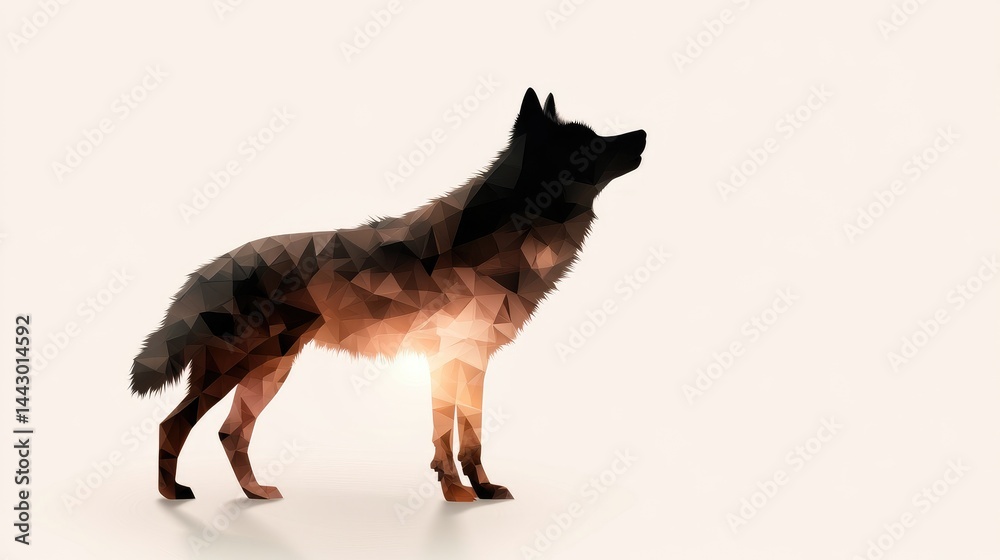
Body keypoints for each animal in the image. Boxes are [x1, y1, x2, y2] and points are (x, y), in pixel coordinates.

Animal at [130, 88, 646, 502]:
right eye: (592, 143)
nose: (642, 133)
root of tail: (211, 268)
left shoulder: (471, 360)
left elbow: (470, 437)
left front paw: (481, 490)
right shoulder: (446, 359)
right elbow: (446, 436)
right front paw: (456, 493)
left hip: (269, 372)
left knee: (230, 434)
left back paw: (255, 493)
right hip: (238, 369)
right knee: (173, 425)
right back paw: (172, 494)